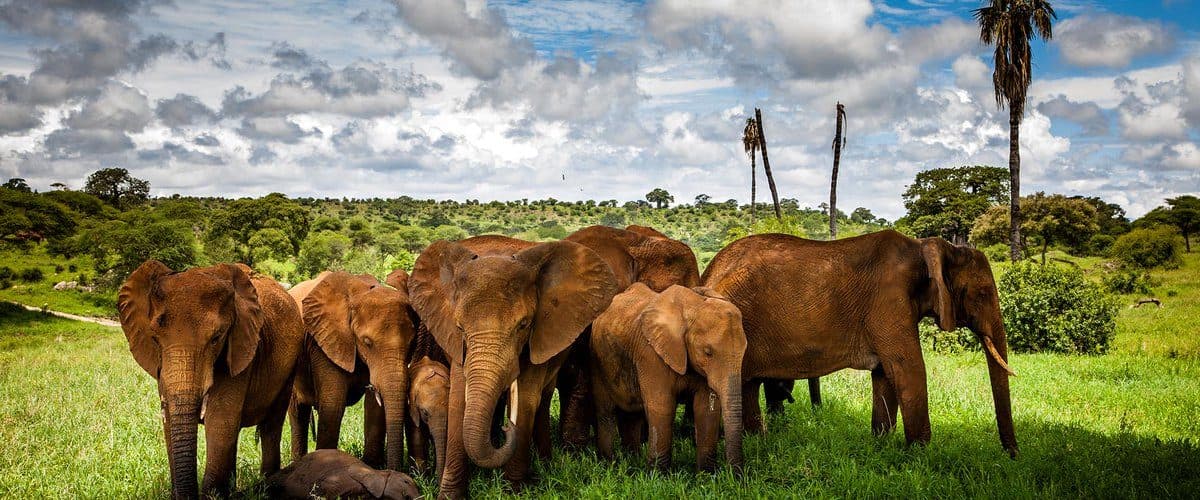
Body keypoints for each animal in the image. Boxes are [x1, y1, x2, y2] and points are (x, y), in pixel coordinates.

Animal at [117, 260, 303, 499]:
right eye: (155, 339)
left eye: (217, 338)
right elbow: (171, 422)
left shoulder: (241, 350)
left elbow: (220, 420)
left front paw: (212, 495)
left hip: (289, 369)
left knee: (271, 425)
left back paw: (265, 486)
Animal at [289, 270, 418, 471]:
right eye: (367, 342)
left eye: (412, 343)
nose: (395, 470)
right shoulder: (325, 342)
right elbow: (333, 405)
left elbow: (374, 407)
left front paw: (372, 467)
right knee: (298, 413)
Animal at [409, 235, 618, 498]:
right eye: (459, 327)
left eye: (523, 325)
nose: (507, 429)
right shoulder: (455, 343)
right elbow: (458, 399)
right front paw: (449, 496)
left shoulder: (539, 336)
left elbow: (526, 398)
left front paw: (515, 492)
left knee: (543, 398)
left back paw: (545, 463)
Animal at [590, 283, 745, 472]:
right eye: (708, 352)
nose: (735, 474)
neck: (692, 307)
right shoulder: (651, 354)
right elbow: (662, 406)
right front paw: (658, 475)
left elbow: (706, 409)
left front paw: (706, 474)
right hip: (597, 360)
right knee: (605, 412)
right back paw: (608, 464)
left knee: (633, 414)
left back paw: (632, 460)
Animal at [701, 230, 1018, 457]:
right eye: (982, 293)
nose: (1012, 455)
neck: (926, 247)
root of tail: (710, 270)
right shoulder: (889, 301)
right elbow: (908, 370)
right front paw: (920, 454)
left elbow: (885, 375)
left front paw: (881, 444)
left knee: (748, 385)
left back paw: (757, 439)